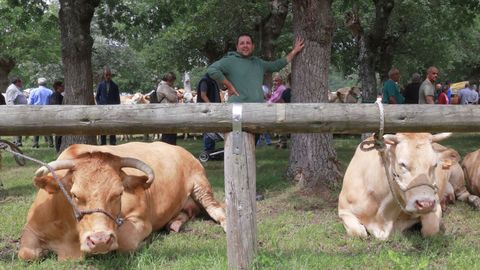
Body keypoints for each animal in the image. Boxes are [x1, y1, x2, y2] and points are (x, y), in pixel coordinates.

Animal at [18, 142, 227, 260]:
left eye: (119, 194)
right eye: (74, 195)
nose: (100, 240)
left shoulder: (140, 221)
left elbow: (125, 242)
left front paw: (144, 242)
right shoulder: (32, 228)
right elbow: (26, 254)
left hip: (201, 185)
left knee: (218, 209)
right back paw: (174, 223)